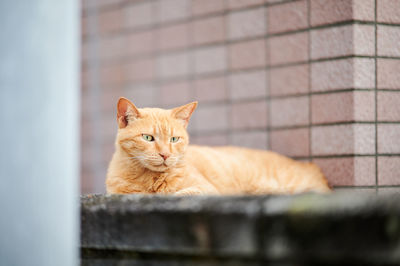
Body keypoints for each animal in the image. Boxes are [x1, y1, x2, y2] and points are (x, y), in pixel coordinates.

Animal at [104, 97, 330, 195]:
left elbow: (181, 194)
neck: (148, 180)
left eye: (174, 139)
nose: (165, 155)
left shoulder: (206, 189)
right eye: (148, 138)